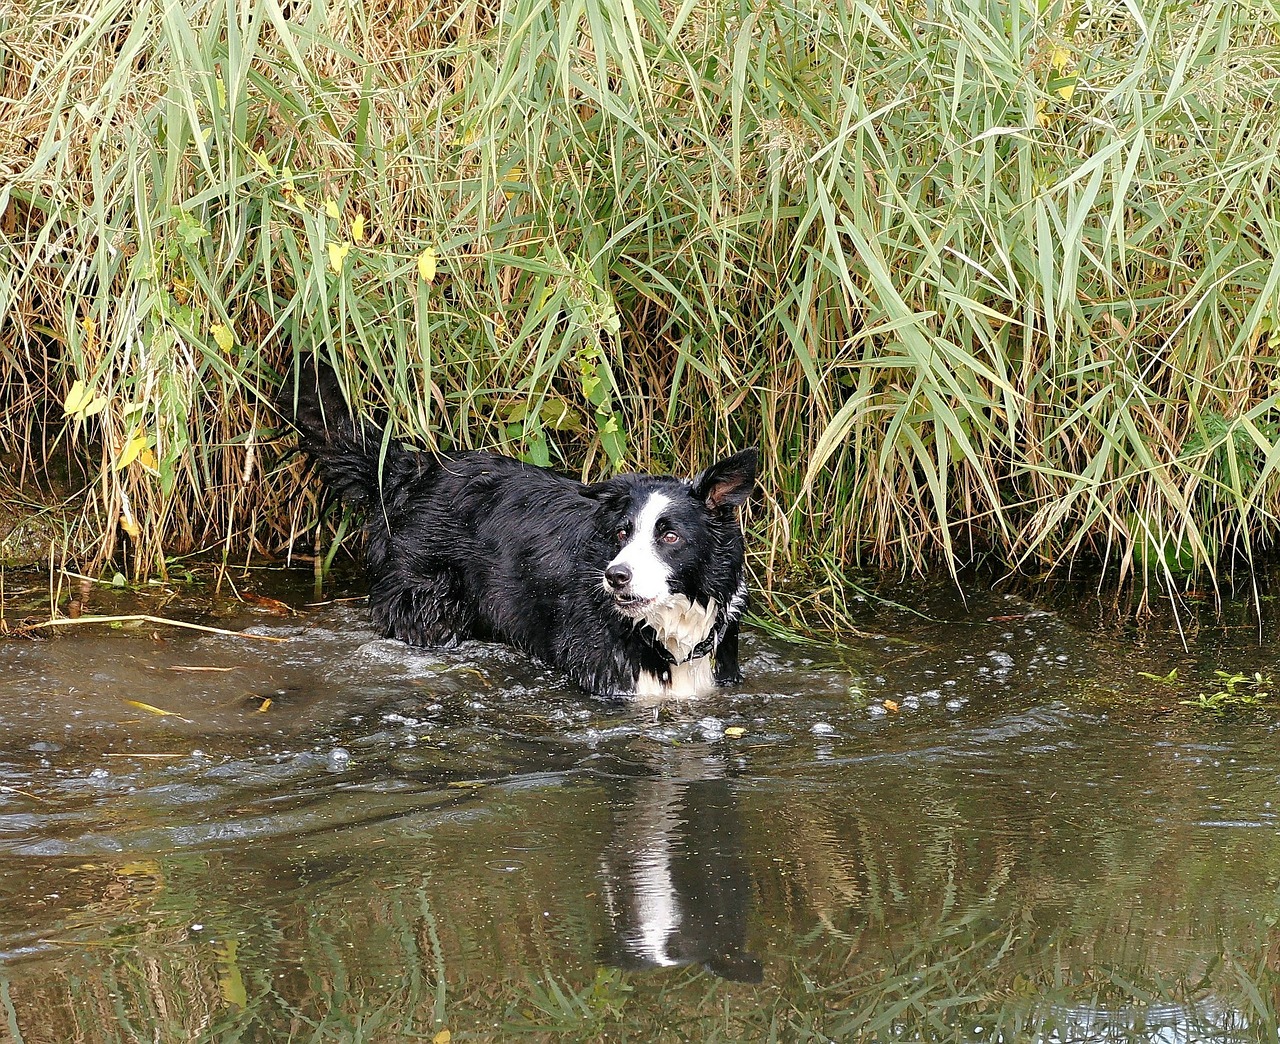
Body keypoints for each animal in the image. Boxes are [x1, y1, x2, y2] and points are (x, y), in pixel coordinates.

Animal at [294, 363, 752, 696]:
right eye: (621, 534)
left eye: (670, 536)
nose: (615, 577)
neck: (666, 631)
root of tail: (412, 472)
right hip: (427, 603)